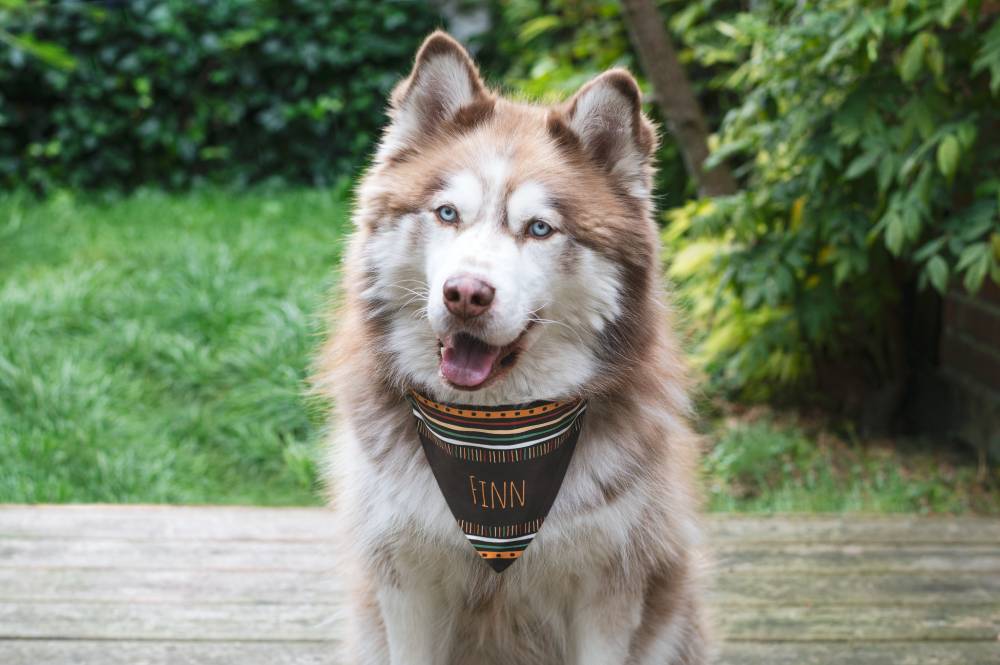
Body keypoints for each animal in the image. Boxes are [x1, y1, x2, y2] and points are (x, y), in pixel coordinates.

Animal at [316, 28, 708, 660]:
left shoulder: (610, 587)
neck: (495, 437)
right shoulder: (404, 581)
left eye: (539, 229)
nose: (465, 295)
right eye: (447, 213)